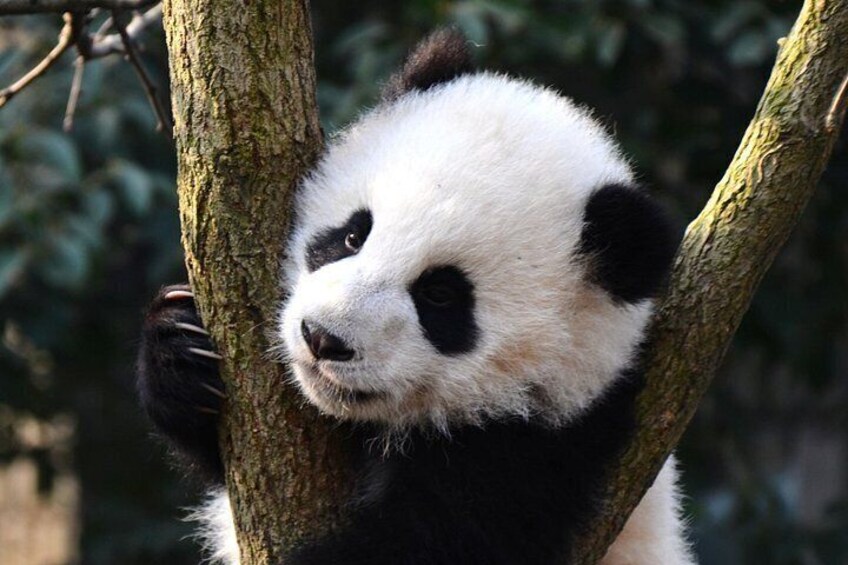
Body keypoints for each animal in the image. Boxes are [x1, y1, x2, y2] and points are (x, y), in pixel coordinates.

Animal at [137, 29, 694, 565]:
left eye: (440, 295)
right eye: (353, 235)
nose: (322, 339)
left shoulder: (547, 447)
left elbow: (443, 539)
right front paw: (180, 348)